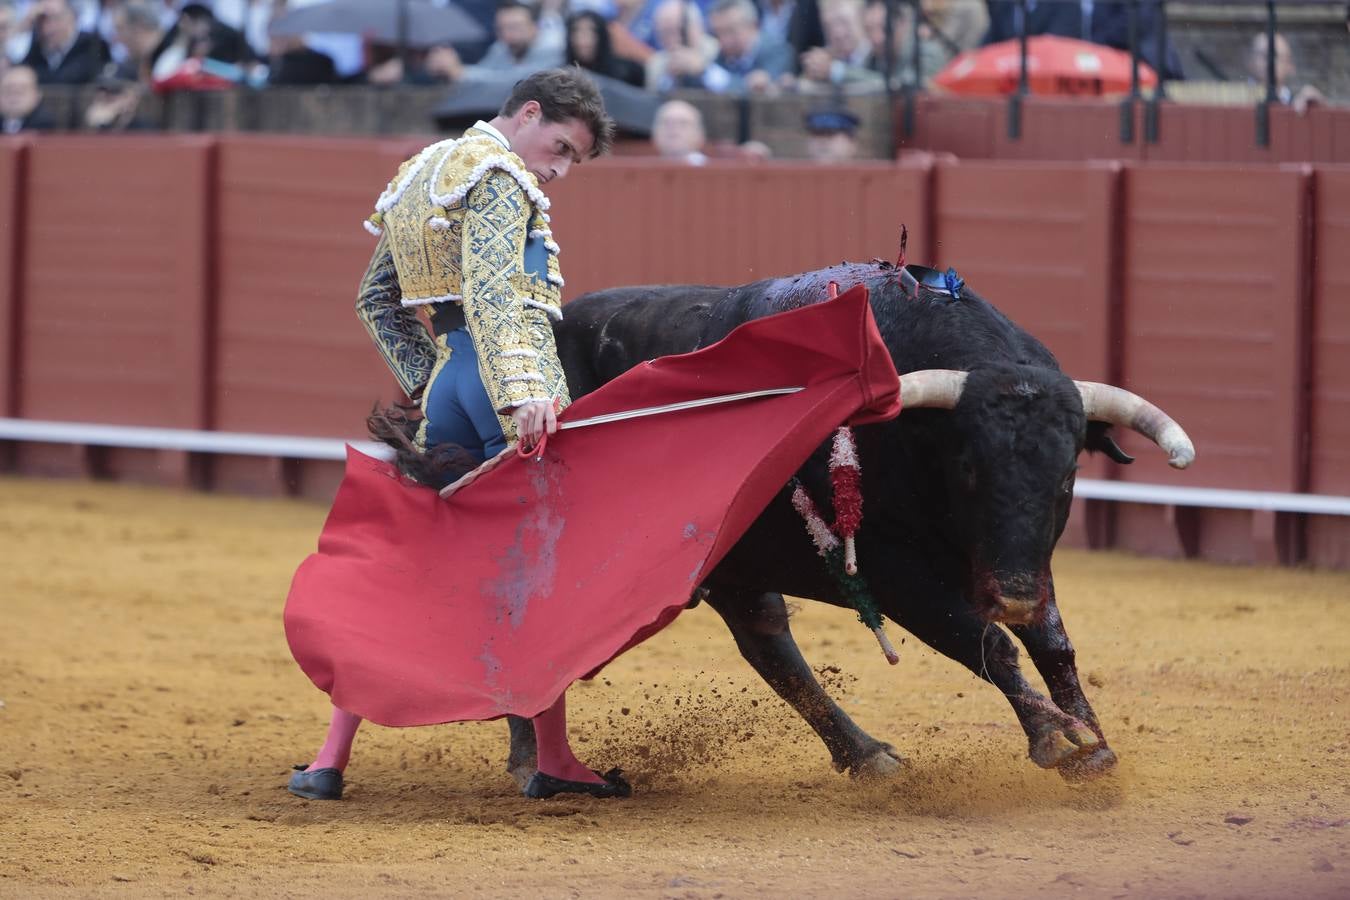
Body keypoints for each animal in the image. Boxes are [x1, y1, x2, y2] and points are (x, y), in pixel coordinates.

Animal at [502, 259, 1198, 782]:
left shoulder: (1014, 564)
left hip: (734, 569)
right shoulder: (898, 579)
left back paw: (865, 757)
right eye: (968, 466)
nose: (1017, 596)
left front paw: (1094, 744)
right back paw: (532, 763)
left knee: (768, 643)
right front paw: (1056, 736)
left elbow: (1051, 644)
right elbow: (986, 643)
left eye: (1066, 476)